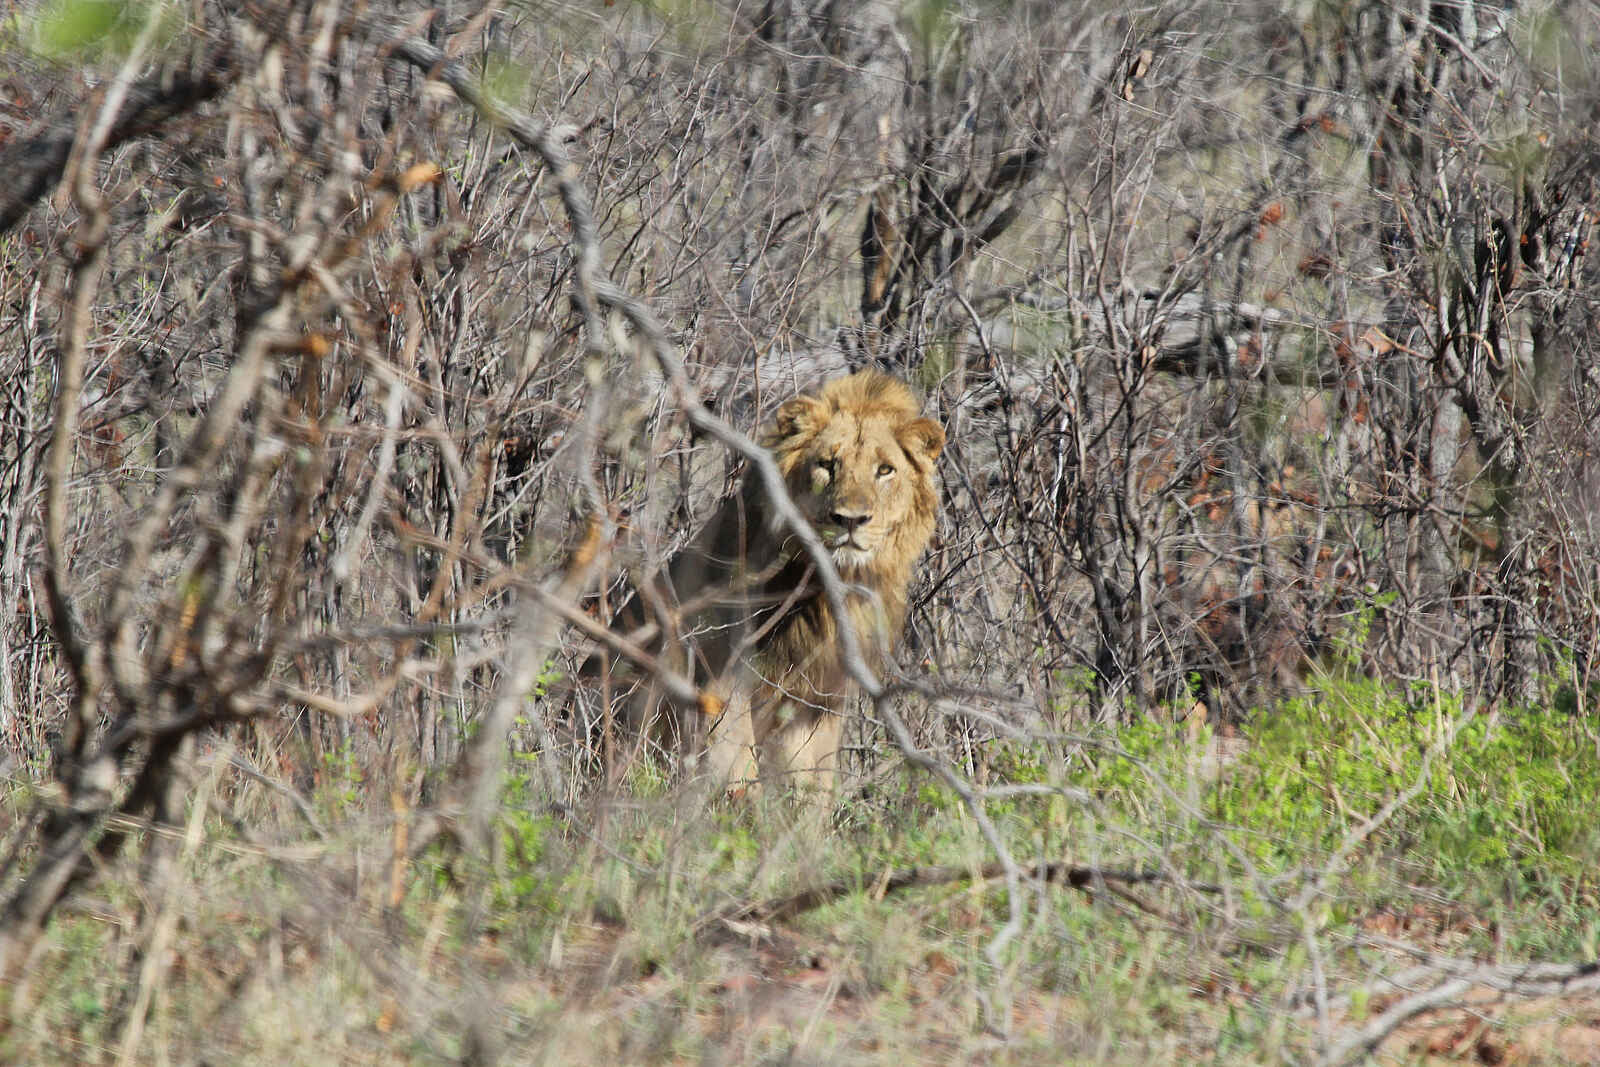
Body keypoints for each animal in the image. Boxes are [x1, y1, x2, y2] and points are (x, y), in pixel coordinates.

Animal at [606, 370, 944, 794]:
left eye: (885, 470)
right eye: (827, 464)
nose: (850, 520)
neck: (825, 590)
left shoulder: (817, 698)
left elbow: (810, 783)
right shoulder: (721, 677)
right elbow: (736, 763)